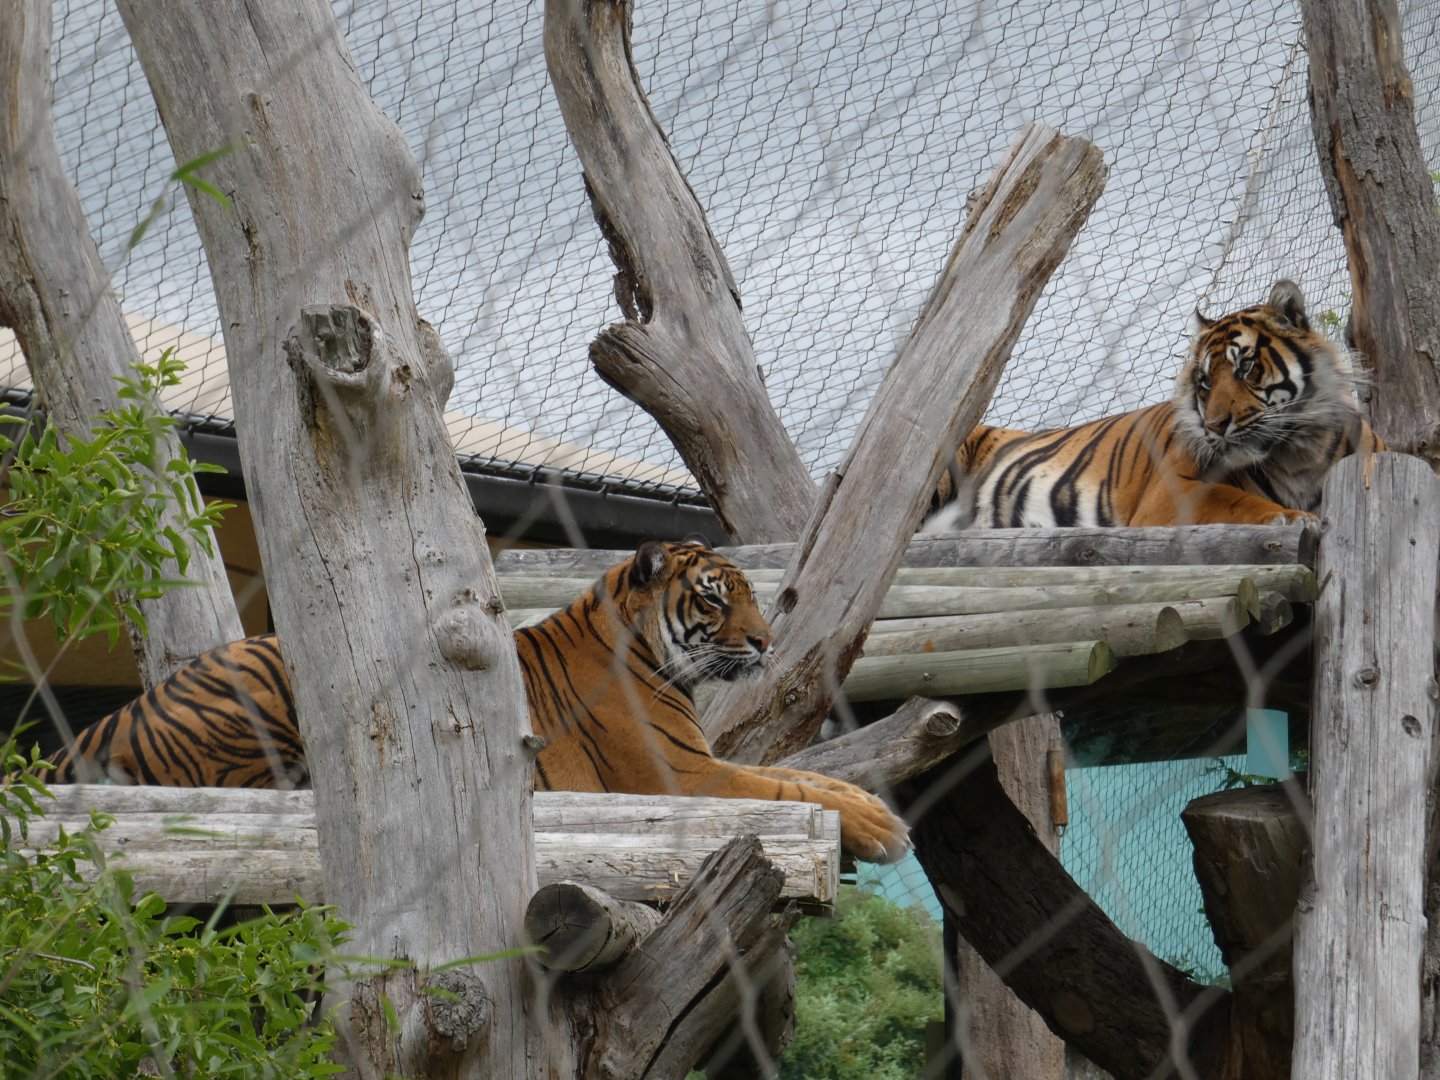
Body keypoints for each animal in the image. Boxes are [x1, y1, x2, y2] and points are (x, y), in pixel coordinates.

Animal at [45, 540, 910, 864]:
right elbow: (787, 789)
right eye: (713, 597)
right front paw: (877, 827)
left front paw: (874, 809)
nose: (766, 642)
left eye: (751, 597)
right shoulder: (685, 774)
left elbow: (814, 778)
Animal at [928, 280, 1384, 530]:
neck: (1299, 452)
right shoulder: (1171, 491)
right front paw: (1290, 518)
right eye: (1205, 381)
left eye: (1246, 366)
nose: (1215, 426)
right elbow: (1235, 500)